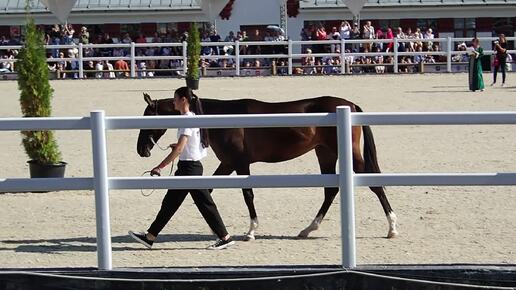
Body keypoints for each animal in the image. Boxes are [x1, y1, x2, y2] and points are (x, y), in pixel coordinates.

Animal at [135, 94, 398, 240]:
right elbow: (207, 191)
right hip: (325, 152)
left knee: (374, 185)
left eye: (148, 116)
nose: (141, 149)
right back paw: (307, 229)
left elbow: (248, 195)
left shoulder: (241, 163)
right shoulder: (228, 163)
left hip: (349, 154)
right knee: (331, 190)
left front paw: (251, 232)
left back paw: (392, 228)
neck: (223, 118)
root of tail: (350, 105)